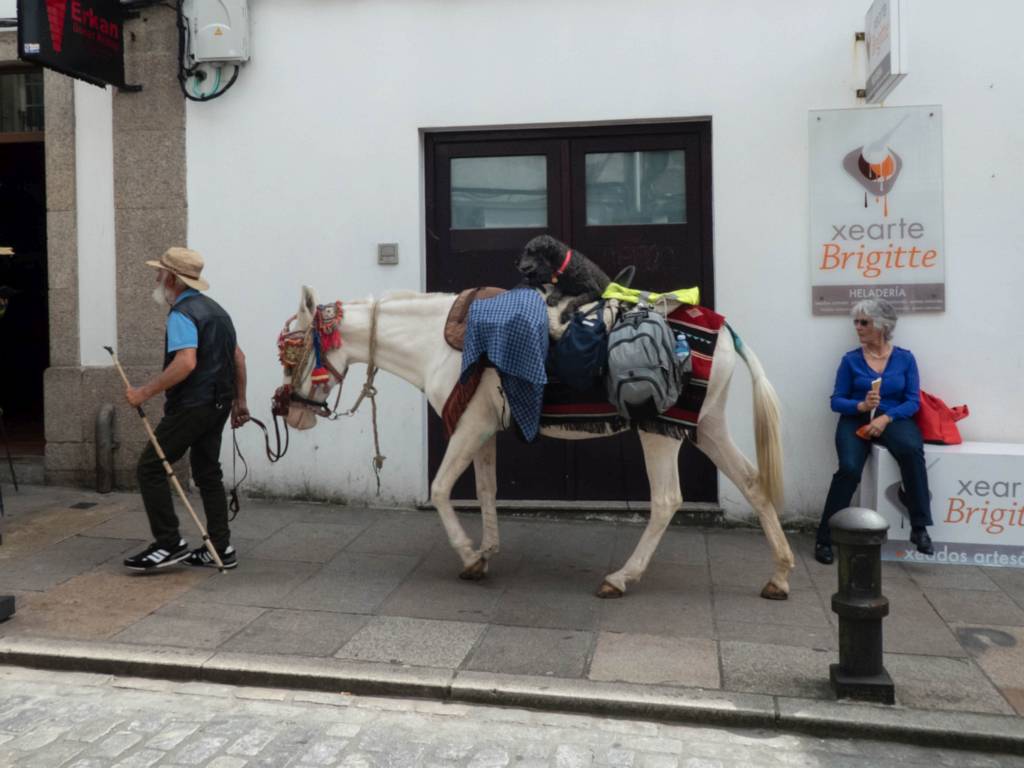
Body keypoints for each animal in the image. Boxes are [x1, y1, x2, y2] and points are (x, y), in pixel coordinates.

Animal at [282, 288, 798, 602]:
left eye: (292, 350)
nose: (288, 411)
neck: (437, 343)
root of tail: (724, 333)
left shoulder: (467, 428)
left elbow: (442, 490)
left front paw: (469, 556)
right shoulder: (481, 428)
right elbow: (485, 491)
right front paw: (486, 551)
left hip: (659, 432)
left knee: (668, 500)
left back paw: (620, 578)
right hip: (708, 425)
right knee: (753, 484)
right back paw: (779, 575)